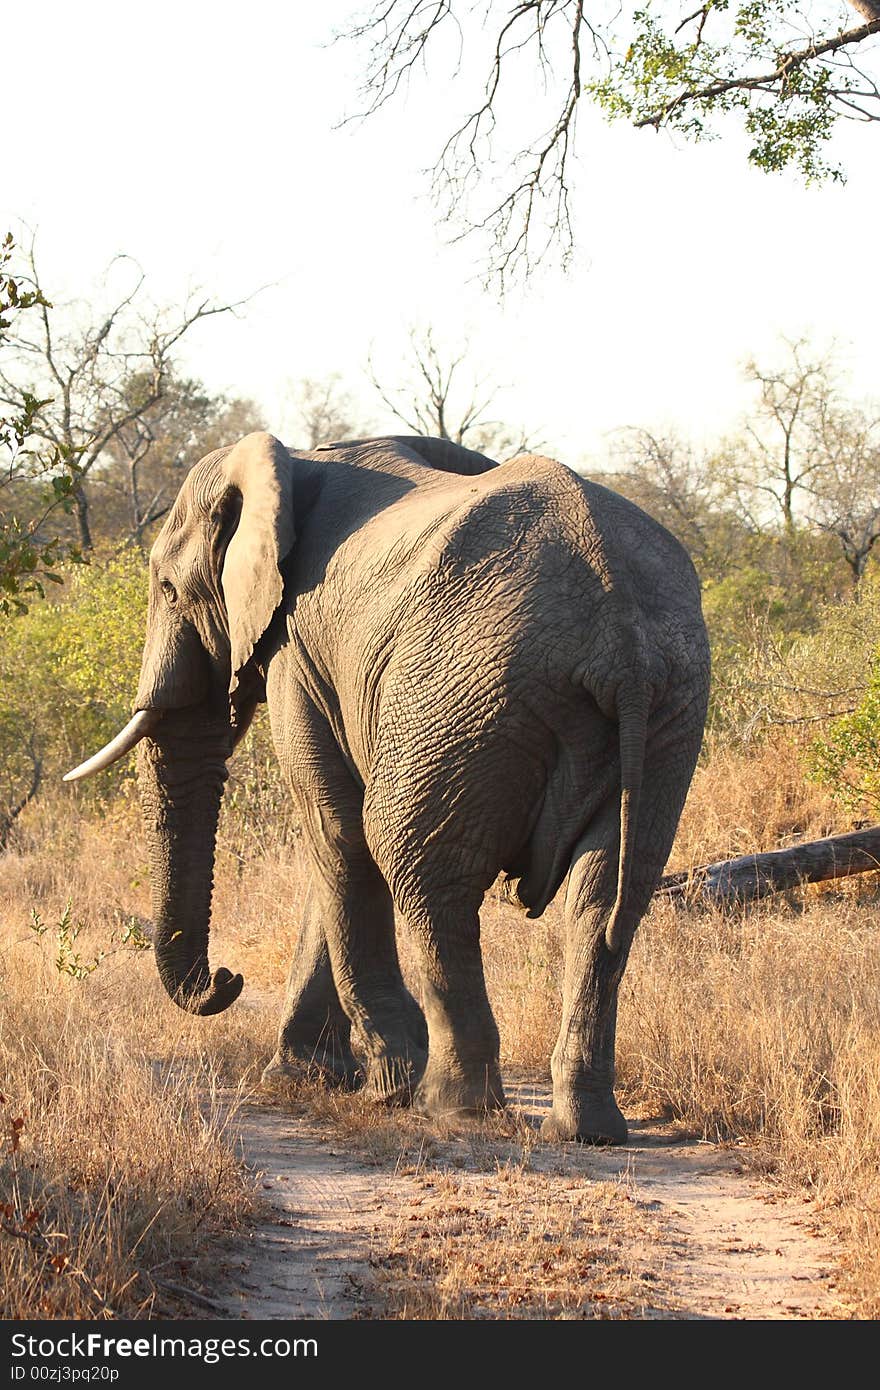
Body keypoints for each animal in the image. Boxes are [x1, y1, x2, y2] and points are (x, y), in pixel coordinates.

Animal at [70, 430, 711, 1139]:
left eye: (168, 588)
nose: (227, 979)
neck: (294, 466)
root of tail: (621, 636)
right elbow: (335, 847)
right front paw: (304, 1078)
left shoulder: (295, 652)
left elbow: (335, 830)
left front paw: (384, 1084)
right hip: (669, 711)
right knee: (607, 893)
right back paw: (584, 1128)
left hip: (469, 691)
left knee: (420, 867)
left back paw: (451, 1106)